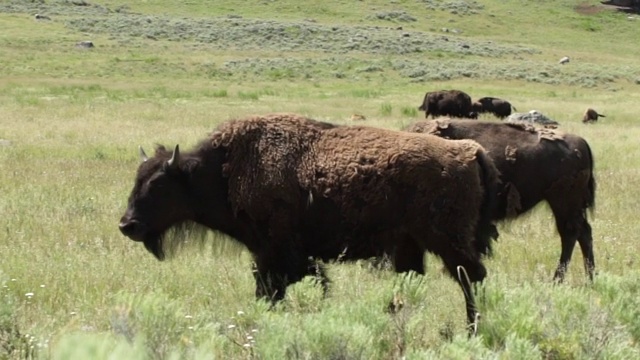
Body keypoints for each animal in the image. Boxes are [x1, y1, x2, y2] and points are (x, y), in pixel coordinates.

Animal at [119, 113, 500, 330]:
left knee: (471, 277)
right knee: (417, 283)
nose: (128, 225)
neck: (225, 170)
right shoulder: (281, 257)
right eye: (137, 179)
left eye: (158, 185)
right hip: (411, 245)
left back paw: (472, 329)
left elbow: (274, 289)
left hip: (447, 241)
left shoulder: (276, 255)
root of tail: (469, 151)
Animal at [404, 119, 596, 282]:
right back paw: (590, 277)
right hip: (571, 206)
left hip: (563, 203)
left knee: (570, 234)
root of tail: (581, 142)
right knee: (584, 233)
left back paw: (558, 280)